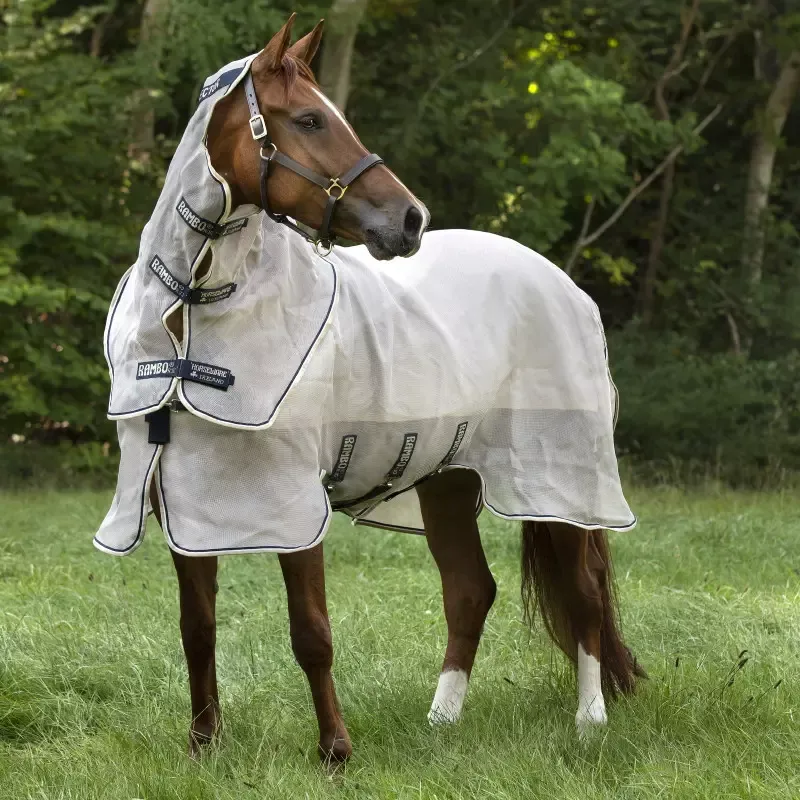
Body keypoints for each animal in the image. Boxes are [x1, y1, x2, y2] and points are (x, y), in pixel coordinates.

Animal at [96, 14, 644, 763]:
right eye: (308, 119)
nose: (410, 219)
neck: (195, 316)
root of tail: (564, 284)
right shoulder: (190, 510)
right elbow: (196, 630)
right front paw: (204, 745)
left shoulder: (295, 506)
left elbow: (311, 633)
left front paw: (335, 751)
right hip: (448, 479)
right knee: (471, 590)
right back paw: (441, 722)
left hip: (556, 479)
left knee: (584, 592)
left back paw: (589, 721)